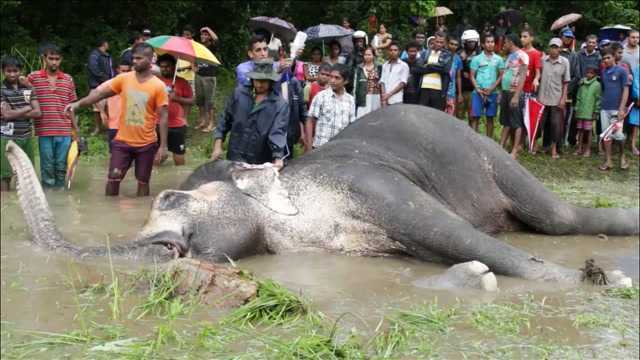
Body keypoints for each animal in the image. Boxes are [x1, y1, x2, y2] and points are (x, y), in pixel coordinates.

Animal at [3, 104, 636, 290]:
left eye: (171, 201)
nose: (164, 248)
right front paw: (471, 278)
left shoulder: (370, 186)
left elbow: (470, 240)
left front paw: (599, 280)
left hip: (490, 153)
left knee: (557, 218)